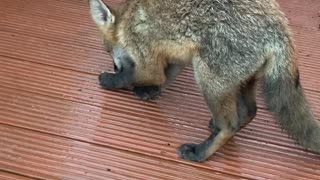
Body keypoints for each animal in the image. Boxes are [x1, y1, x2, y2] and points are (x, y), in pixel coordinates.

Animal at [88, 0, 320, 162]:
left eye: (108, 50)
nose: (114, 66)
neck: (129, 20)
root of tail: (281, 30)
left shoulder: (145, 55)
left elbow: (138, 75)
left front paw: (110, 79)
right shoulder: (178, 57)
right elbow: (166, 76)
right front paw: (150, 91)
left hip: (207, 78)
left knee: (229, 125)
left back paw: (200, 152)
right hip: (241, 80)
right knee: (249, 111)